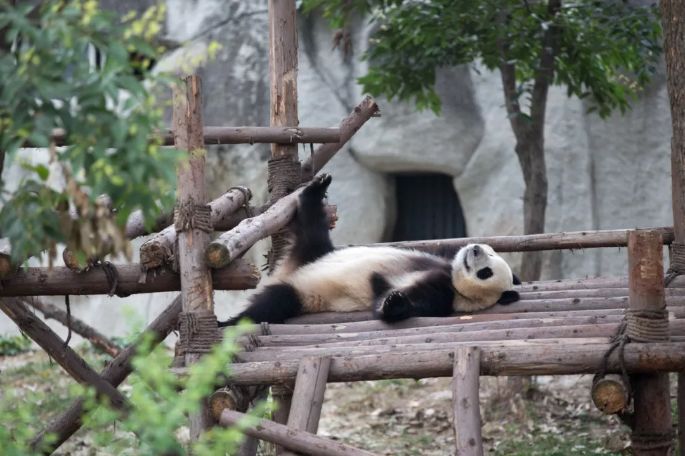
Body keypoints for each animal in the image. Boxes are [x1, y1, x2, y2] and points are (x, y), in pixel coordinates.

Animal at [216, 173, 520, 326]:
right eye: (491, 253)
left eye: (486, 272)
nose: (476, 249)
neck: (453, 277)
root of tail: (287, 271)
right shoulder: (441, 260)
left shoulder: (446, 296)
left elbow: (396, 302)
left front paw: (394, 303)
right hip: (315, 249)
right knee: (313, 224)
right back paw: (316, 188)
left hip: (304, 292)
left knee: (273, 303)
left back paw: (227, 324)